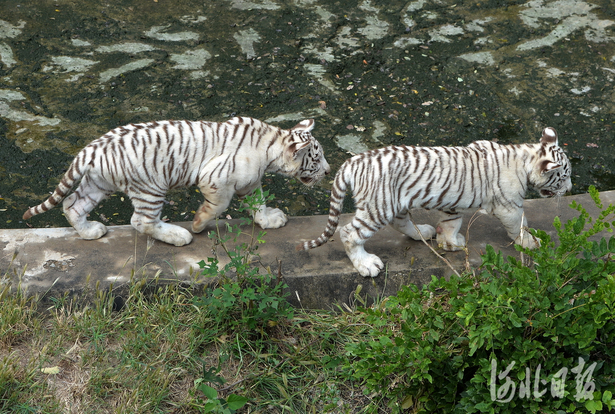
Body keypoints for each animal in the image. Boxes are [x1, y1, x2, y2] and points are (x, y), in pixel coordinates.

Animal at [22, 116, 332, 246]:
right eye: (316, 159)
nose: (329, 171)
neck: (271, 145)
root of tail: (92, 147)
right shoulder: (215, 180)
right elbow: (218, 206)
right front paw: (198, 224)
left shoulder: (250, 183)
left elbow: (259, 202)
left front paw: (269, 220)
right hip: (150, 187)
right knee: (141, 221)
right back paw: (178, 236)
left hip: (99, 183)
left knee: (73, 204)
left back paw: (90, 232)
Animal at [298, 128, 572, 276]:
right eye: (564, 176)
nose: (570, 188)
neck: (524, 156)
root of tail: (351, 163)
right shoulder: (509, 206)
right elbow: (519, 224)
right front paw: (530, 242)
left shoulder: (453, 203)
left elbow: (451, 223)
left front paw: (449, 243)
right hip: (379, 207)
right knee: (349, 233)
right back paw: (367, 264)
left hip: (393, 202)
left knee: (400, 223)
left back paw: (423, 232)